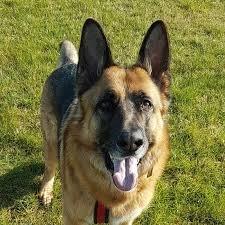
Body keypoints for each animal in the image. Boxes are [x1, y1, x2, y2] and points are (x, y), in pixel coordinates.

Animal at [39, 18, 171, 224]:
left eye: (146, 103)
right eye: (106, 104)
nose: (131, 143)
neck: (110, 198)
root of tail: (69, 64)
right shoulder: (71, 218)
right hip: (51, 141)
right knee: (50, 166)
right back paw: (46, 189)